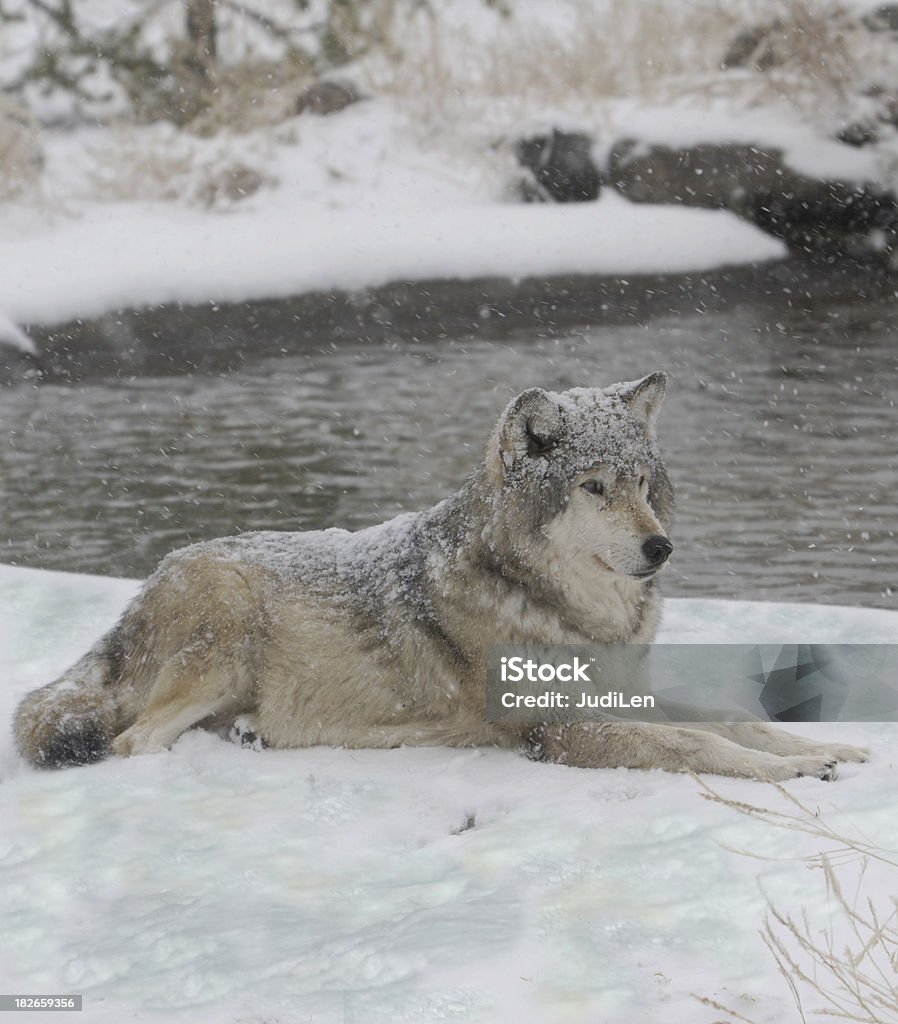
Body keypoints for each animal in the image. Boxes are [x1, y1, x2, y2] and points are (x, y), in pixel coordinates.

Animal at [14, 372, 864, 778]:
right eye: (594, 488)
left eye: (642, 486)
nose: (661, 549)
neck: (565, 609)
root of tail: (145, 585)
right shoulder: (566, 729)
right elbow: (695, 744)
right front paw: (797, 767)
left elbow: (730, 720)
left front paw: (831, 749)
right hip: (224, 638)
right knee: (134, 742)